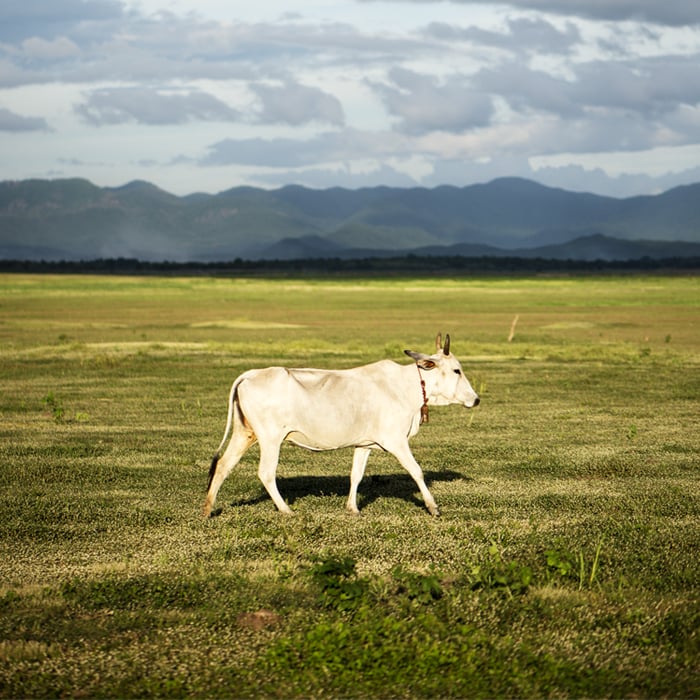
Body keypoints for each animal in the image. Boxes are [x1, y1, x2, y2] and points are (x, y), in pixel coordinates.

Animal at [203, 333, 480, 518]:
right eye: (457, 370)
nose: (476, 399)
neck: (407, 386)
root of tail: (251, 374)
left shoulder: (365, 444)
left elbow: (356, 475)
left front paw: (352, 508)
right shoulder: (396, 441)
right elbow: (417, 471)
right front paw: (433, 507)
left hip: (244, 433)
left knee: (223, 466)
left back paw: (207, 508)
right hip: (270, 438)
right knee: (266, 473)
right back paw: (286, 510)